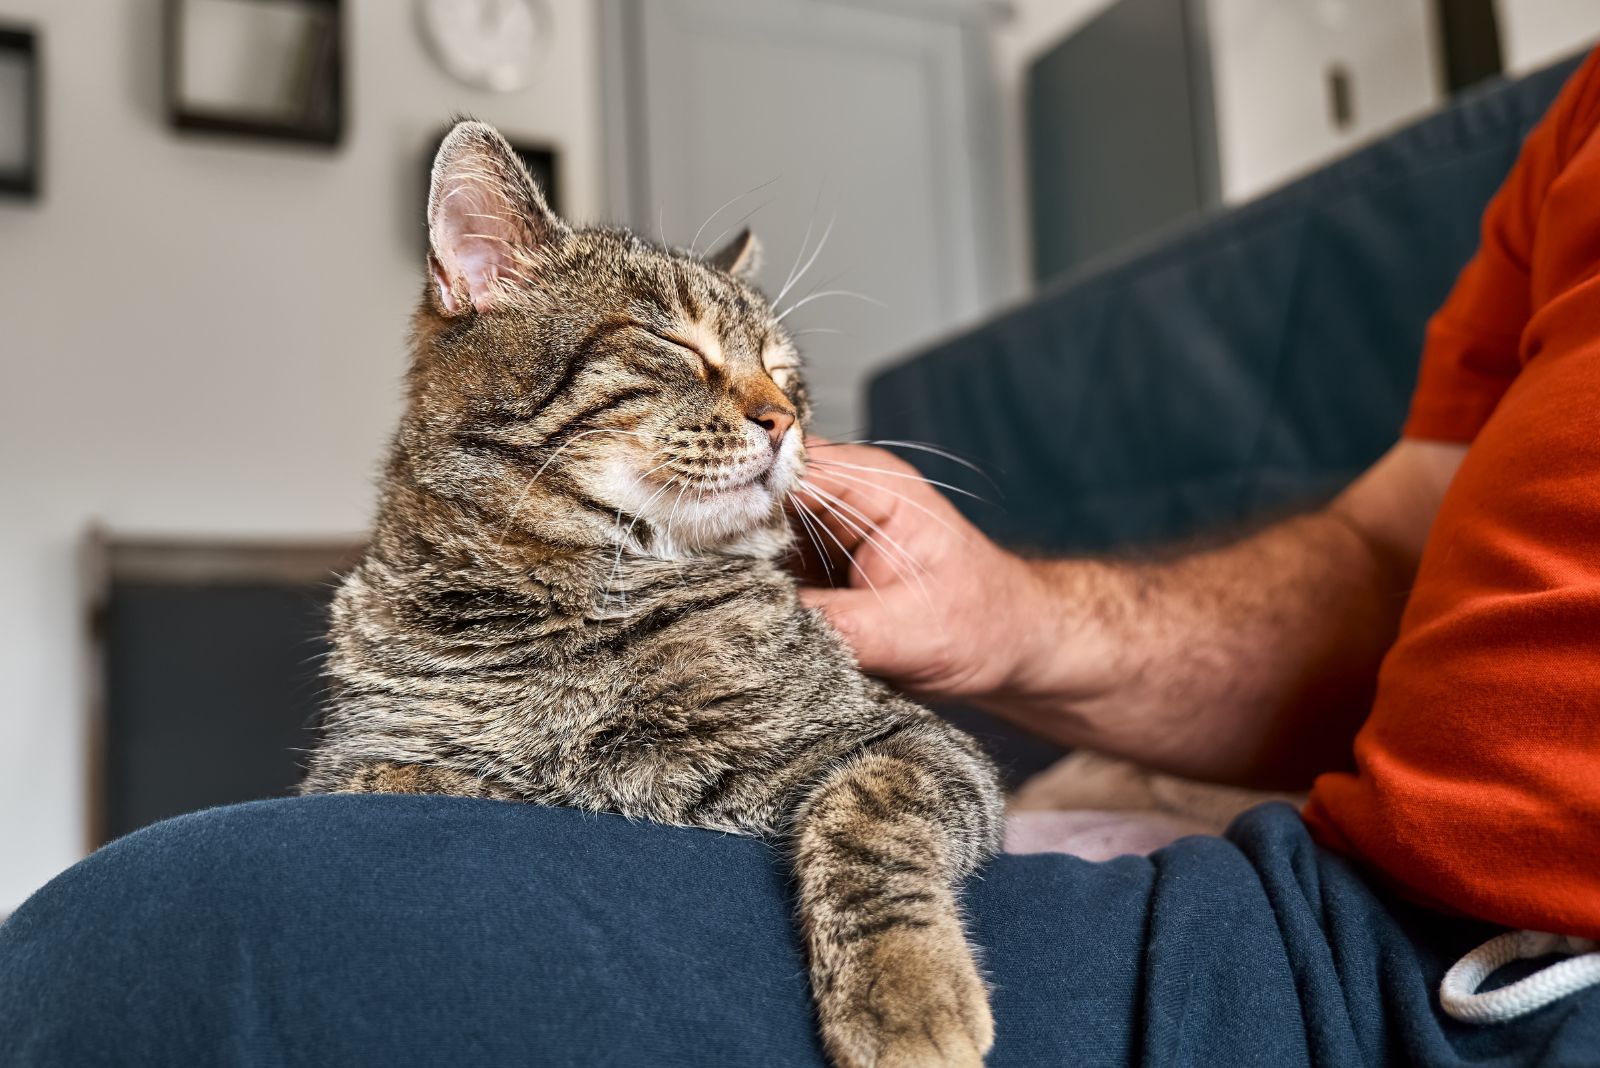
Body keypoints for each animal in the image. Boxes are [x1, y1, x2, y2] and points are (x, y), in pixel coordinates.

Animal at [300, 119, 998, 1068]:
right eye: (676, 345)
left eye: (785, 372)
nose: (787, 419)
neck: (560, 611)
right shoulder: (349, 765)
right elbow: (423, 782)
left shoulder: (916, 741)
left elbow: (867, 816)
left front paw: (908, 992)